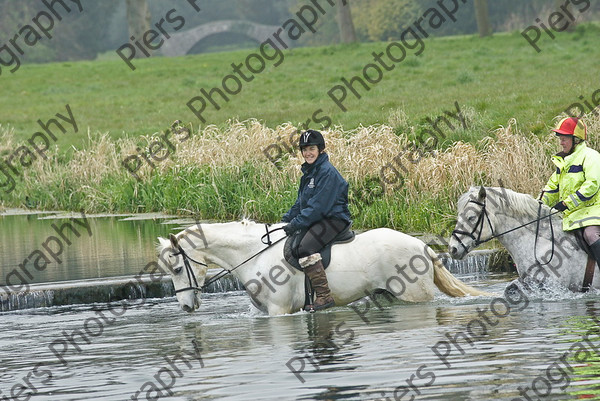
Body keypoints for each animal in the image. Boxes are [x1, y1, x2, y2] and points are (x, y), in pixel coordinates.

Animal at [156, 220, 488, 314]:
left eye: (176, 269)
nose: (185, 307)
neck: (254, 255)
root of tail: (422, 247)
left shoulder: (279, 312)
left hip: (415, 296)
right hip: (386, 296)